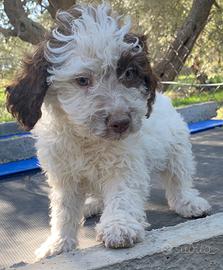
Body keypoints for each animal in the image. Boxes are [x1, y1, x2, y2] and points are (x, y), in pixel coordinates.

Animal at [5, 2, 211, 260]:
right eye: (82, 80)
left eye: (129, 73)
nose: (121, 122)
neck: (86, 139)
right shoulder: (64, 175)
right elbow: (64, 210)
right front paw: (58, 243)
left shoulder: (125, 165)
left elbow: (122, 194)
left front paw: (118, 226)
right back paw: (91, 204)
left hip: (177, 150)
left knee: (178, 178)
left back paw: (188, 202)